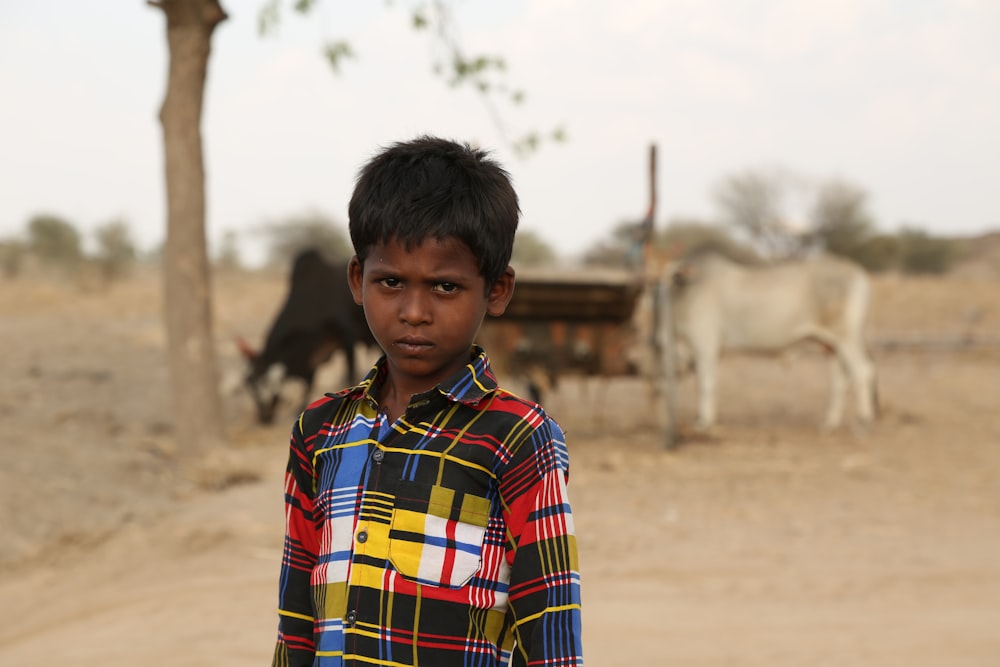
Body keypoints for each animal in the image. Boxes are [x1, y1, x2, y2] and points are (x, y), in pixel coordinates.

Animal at [236, 248, 376, 426]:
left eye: (268, 388)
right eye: (252, 389)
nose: (264, 417)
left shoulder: (348, 337)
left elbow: (350, 373)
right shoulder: (309, 358)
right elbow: (308, 384)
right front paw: (300, 408)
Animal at [648, 252, 876, 434]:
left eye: (670, 276)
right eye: (651, 279)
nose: (656, 295)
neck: (687, 291)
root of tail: (856, 272)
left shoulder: (705, 344)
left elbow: (705, 383)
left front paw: (704, 422)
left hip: (847, 338)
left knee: (862, 372)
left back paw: (864, 422)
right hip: (831, 345)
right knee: (840, 380)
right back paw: (830, 424)